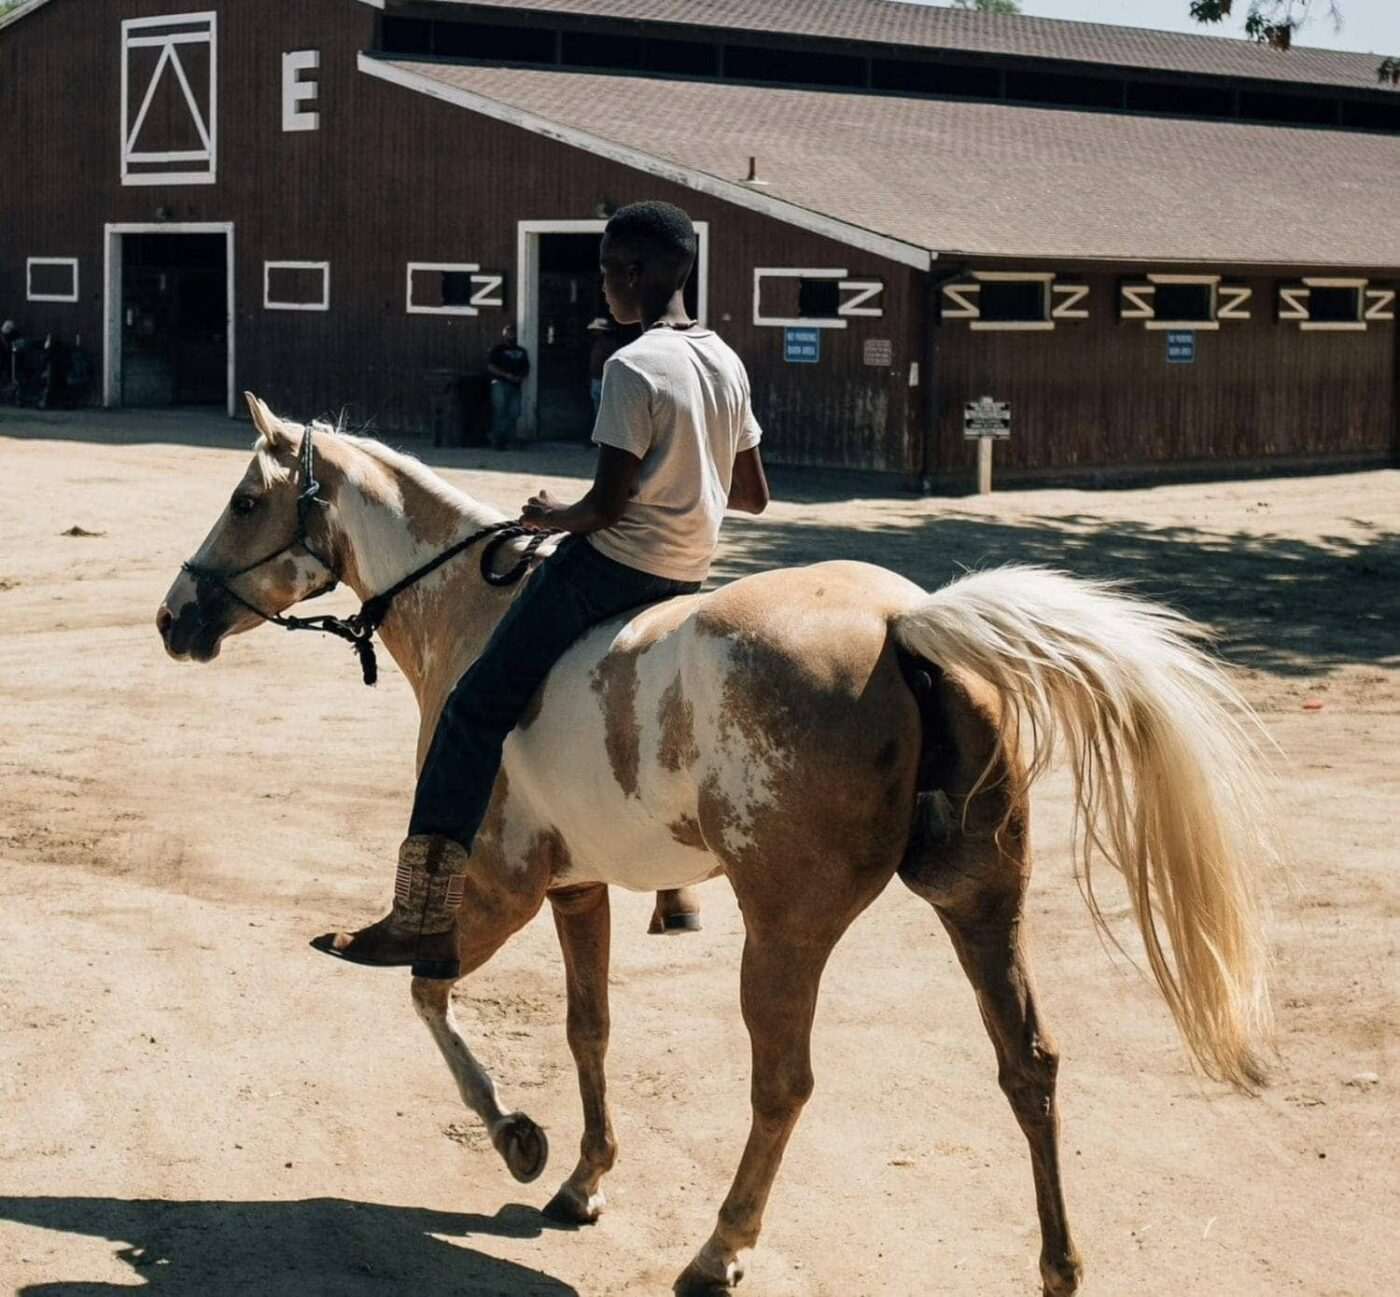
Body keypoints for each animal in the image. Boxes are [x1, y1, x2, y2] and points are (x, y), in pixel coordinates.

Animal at [158, 394, 1276, 1297]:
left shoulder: (502, 884)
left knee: (783, 1083)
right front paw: (583, 1177)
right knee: (1028, 1066)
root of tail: (907, 622)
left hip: (784, 932)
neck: (474, 610)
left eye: (246, 500)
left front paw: (519, 1138)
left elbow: (425, 990)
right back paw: (1058, 1264)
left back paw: (717, 1248)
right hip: (980, 900)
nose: (174, 618)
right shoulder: (577, 887)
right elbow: (589, 1027)